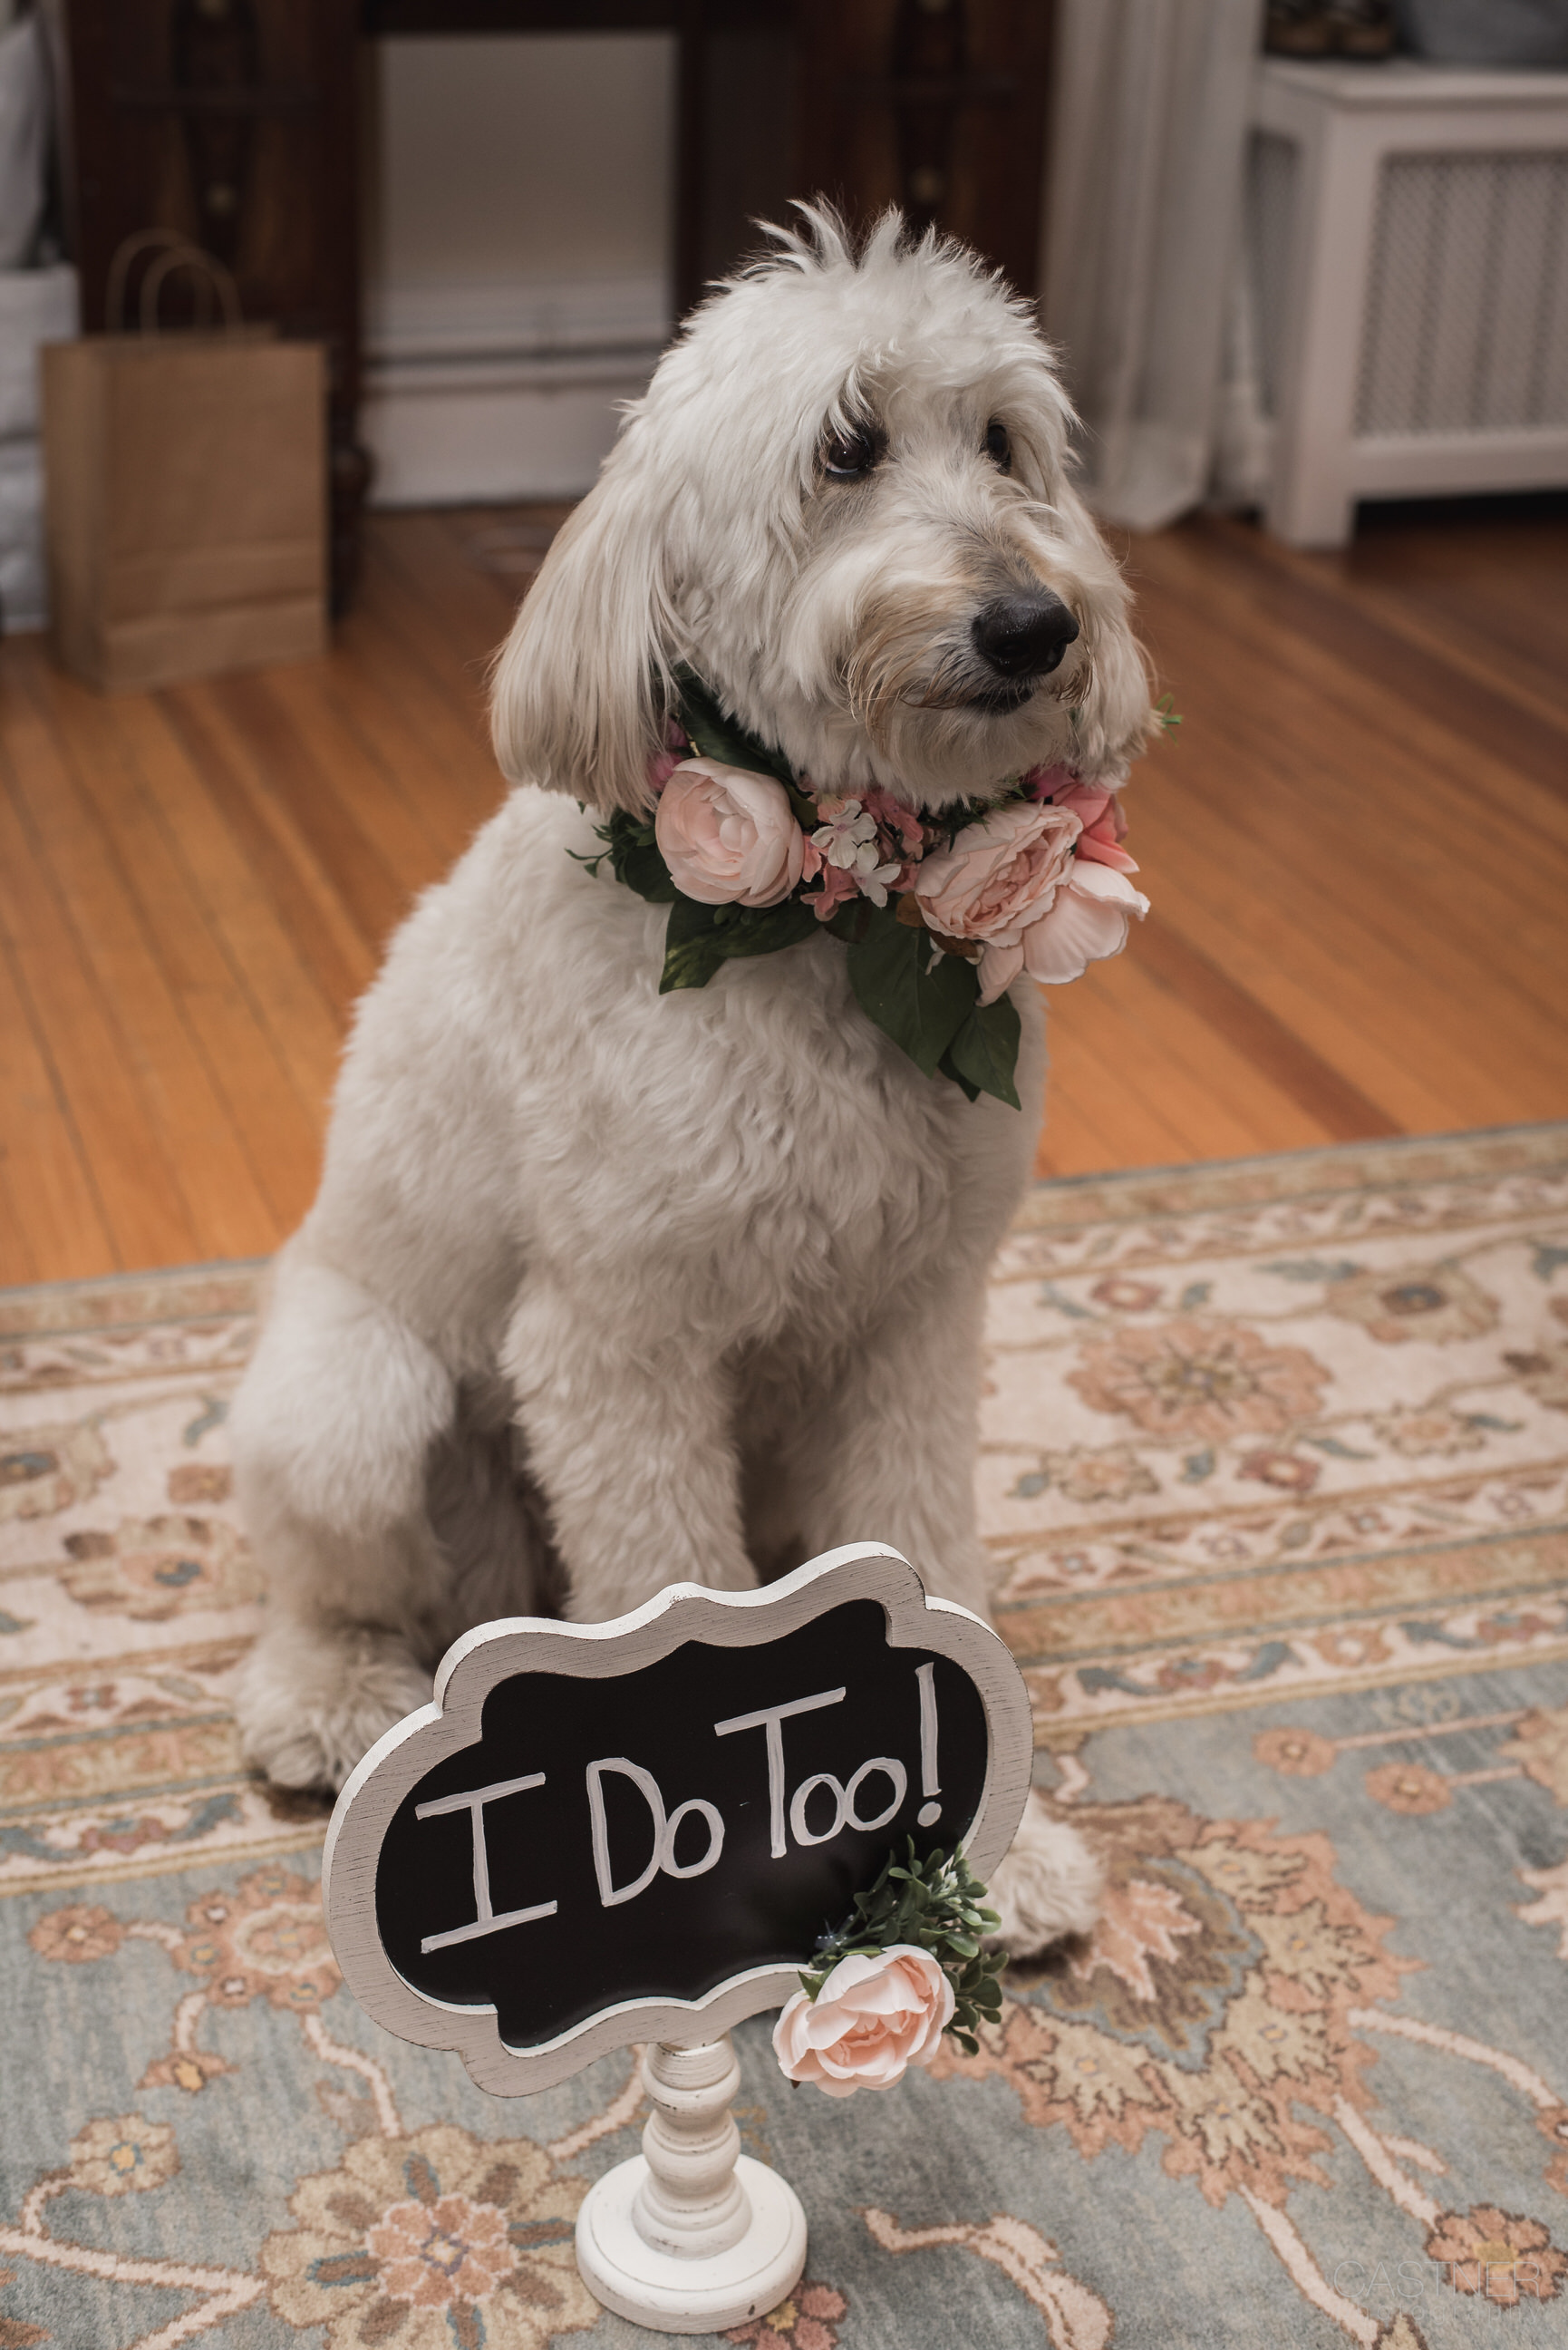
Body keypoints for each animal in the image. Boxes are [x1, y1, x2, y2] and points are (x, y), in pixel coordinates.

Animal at [230, 211, 1151, 1955]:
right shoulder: (617, 1349)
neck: (829, 938)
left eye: (1004, 443)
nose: (1034, 624)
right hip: (356, 1407)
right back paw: (329, 1704)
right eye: (846, 446)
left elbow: (928, 1566)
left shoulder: (915, 1326)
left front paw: (987, 1857)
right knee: (321, 1596)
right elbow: (677, 1601)